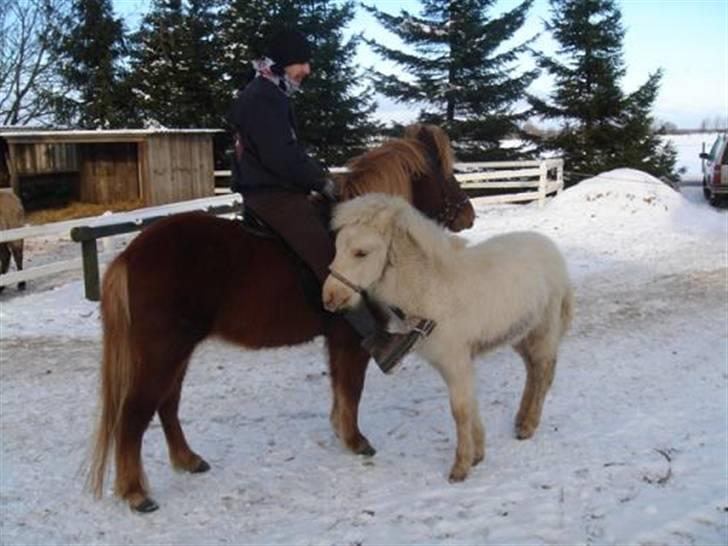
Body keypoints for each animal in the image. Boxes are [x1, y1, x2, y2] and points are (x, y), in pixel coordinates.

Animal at [88, 123, 474, 510]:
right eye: (445, 171)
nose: (468, 214)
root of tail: (130, 255)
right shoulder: (351, 339)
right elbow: (352, 387)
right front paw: (356, 441)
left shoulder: (336, 340)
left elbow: (340, 389)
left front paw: (342, 431)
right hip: (162, 351)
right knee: (135, 413)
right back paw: (135, 492)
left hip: (176, 351)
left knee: (167, 404)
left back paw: (188, 460)